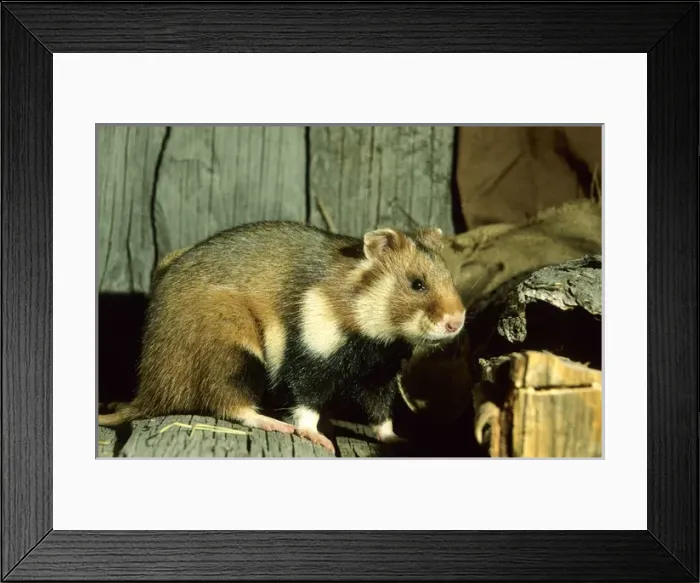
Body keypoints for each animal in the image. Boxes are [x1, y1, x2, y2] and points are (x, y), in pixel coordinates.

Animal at [98, 221, 466, 453]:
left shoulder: (378, 372)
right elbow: (306, 404)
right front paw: (316, 437)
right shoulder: (312, 352)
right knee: (230, 402)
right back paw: (274, 424)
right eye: (417, 284)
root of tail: (152, 391)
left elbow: (382, 414)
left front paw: (399, 440)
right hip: (232, 348)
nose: (457, 322)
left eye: (450, 278)